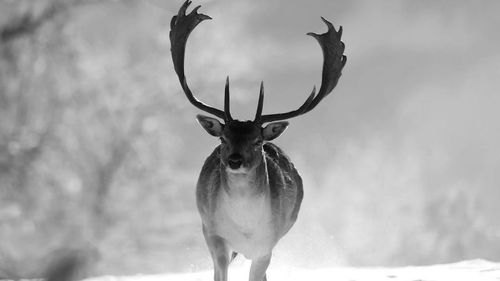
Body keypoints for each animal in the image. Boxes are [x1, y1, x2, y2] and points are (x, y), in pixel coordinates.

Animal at [170, 1, 346, 278]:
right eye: (223, 139)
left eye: (256, 141)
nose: (234, 160)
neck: (245, 227)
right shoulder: (213, 233)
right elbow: (220, 272)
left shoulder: (267, 244)